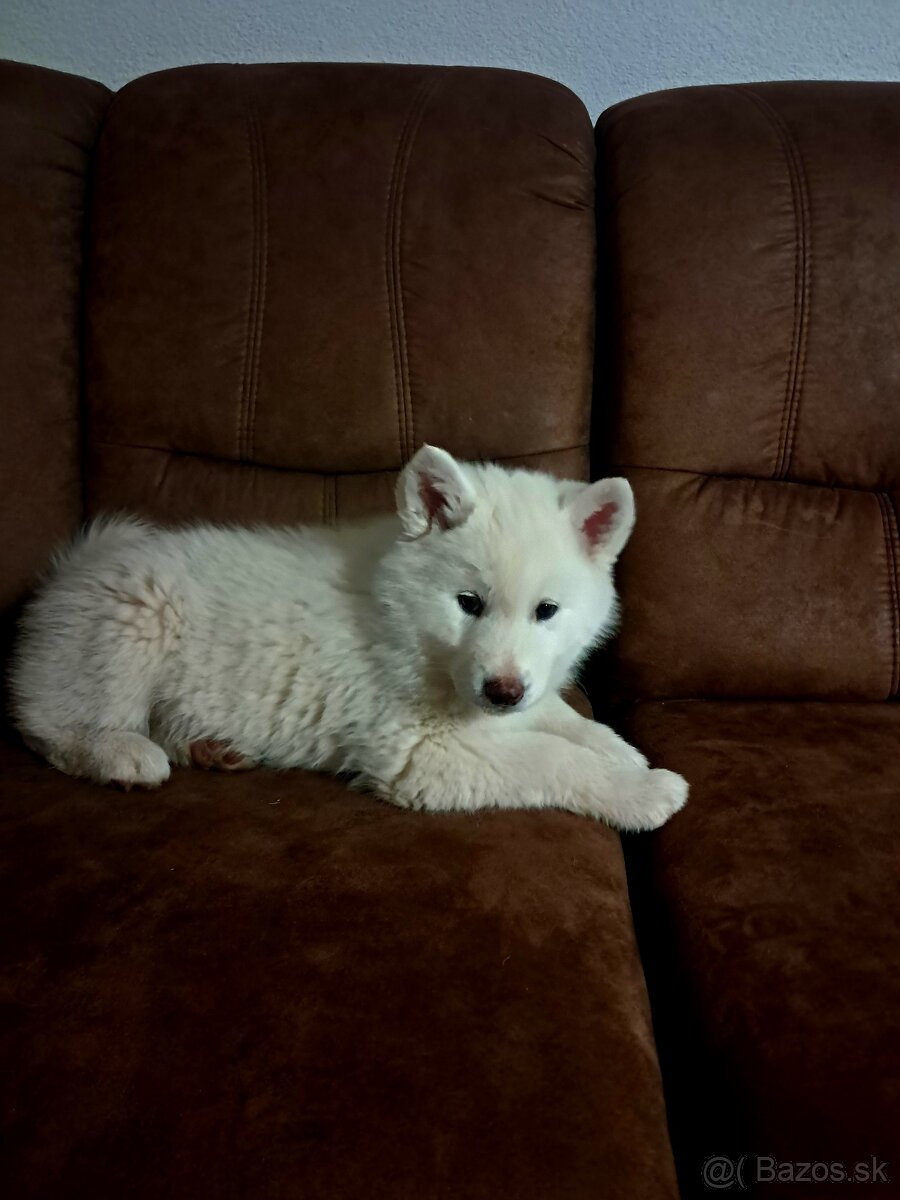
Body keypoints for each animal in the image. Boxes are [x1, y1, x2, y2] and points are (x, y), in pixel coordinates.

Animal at [8, 446, 691, 830]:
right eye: (468, 604)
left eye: (547, 611)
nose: (501, 691)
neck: (410, 629)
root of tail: (76, 564)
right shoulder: (417, 751)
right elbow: (552, 758)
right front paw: (645, 791)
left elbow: (562, 720)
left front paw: (621, 751)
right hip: (131, 625)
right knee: (48, 723)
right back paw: (123, 755)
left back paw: (209, 747)